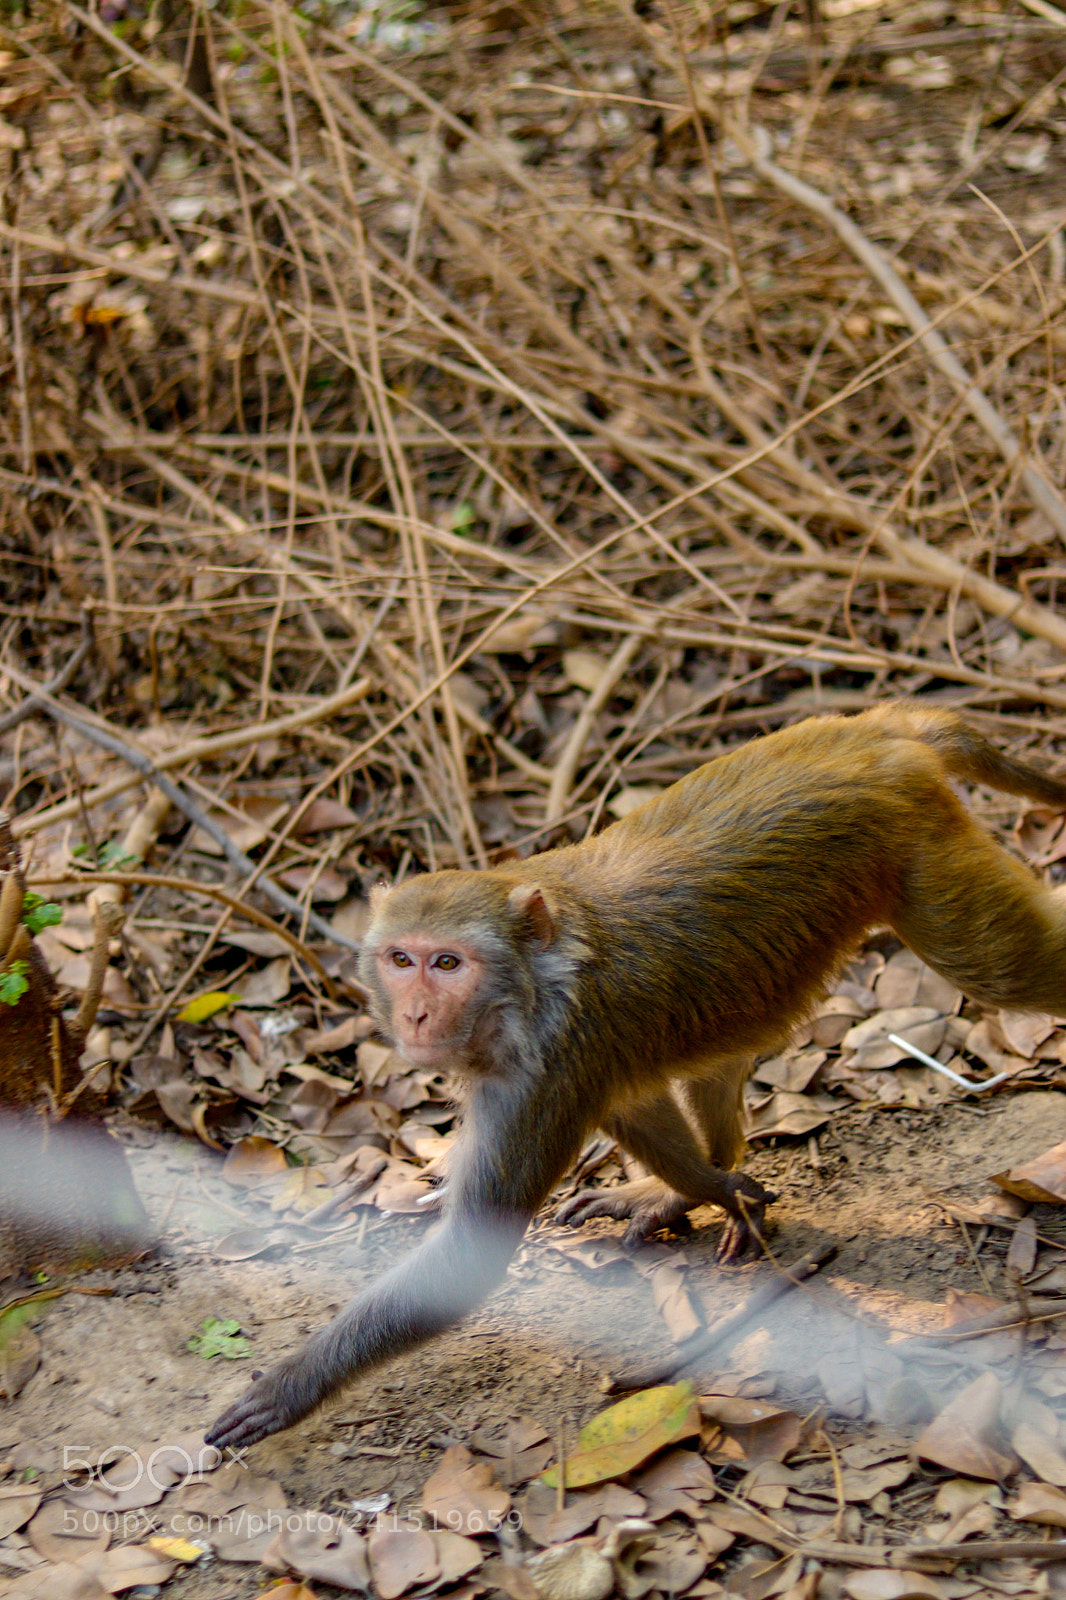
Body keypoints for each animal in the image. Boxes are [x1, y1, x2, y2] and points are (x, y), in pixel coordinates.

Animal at [206, 701, 1066, 1450]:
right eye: (400, 959)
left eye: (447, 964)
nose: (414, 1016)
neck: (532, 978)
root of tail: (874, 732)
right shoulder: (578, 1060)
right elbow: (636, 1100)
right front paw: (702, 1187)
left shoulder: (547, 1067)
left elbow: (468, 1257)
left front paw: (293, 1385)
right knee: (714, 1054)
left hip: (920, 847)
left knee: (996, 967)